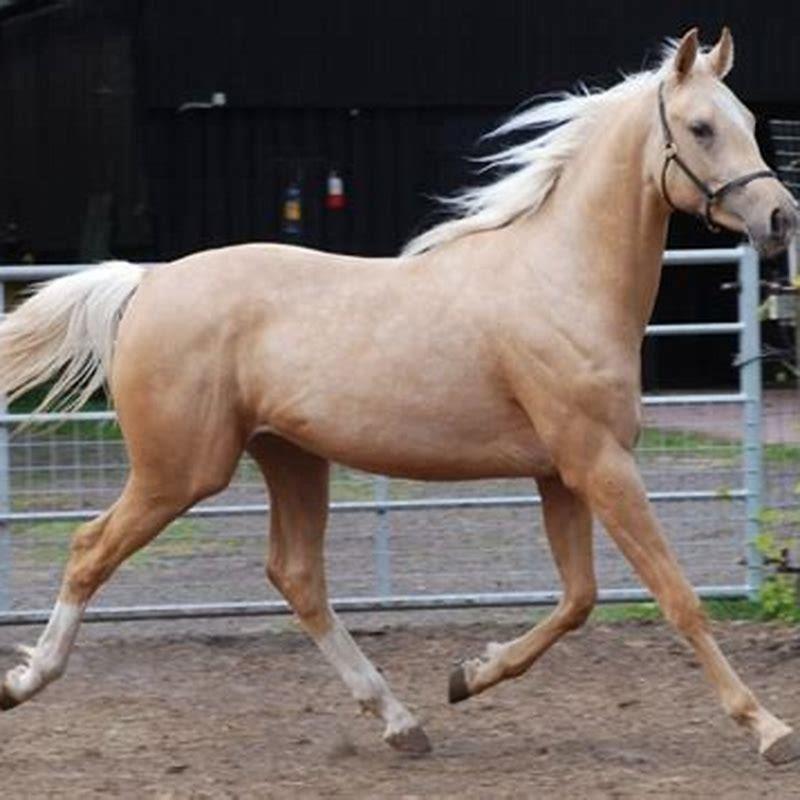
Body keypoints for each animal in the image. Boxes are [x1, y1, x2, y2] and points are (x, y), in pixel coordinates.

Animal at [1, 27, 798, 764]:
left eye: (749, 120)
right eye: (701, 127)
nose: (780, 218)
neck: (561, 280)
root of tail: (148, 280)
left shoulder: (561, 474)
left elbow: (578, 600)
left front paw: (468, 675)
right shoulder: (598, 463)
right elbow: (678, 598)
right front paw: (767, 729)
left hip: (290, 458)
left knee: (297, 577)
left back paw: (401, 721)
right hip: (180, 471)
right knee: (89, 548)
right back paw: (24, 681)